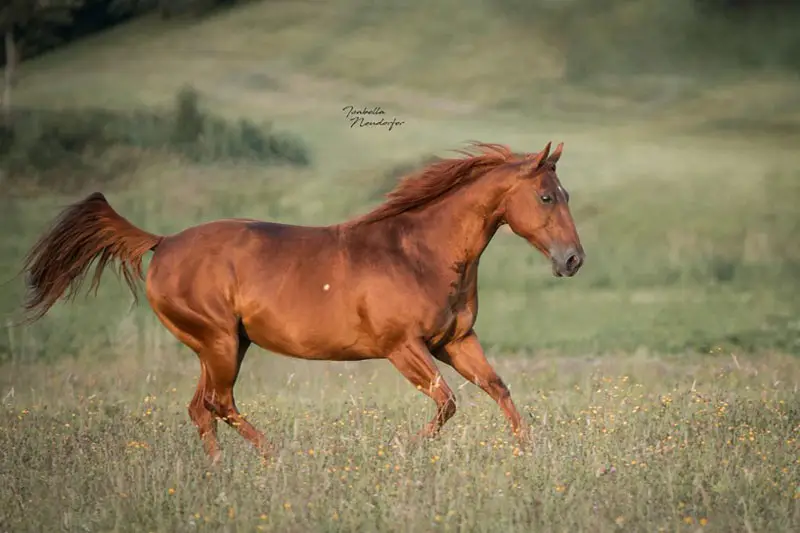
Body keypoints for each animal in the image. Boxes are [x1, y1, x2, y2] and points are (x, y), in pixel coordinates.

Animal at [20, 141, 584, 463]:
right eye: (546, 197)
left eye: (566, 194)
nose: (573, 260)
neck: (418, 252)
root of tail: (162, 242)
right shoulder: (404, 348)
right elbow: (447, 402)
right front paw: (403, 452)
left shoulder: (457, 341)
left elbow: (498, 389)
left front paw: (530, 456)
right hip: (219, 342)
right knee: (219, 404)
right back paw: (274, 460)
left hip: (221, 346)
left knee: (201, 408)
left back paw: (219, 474)